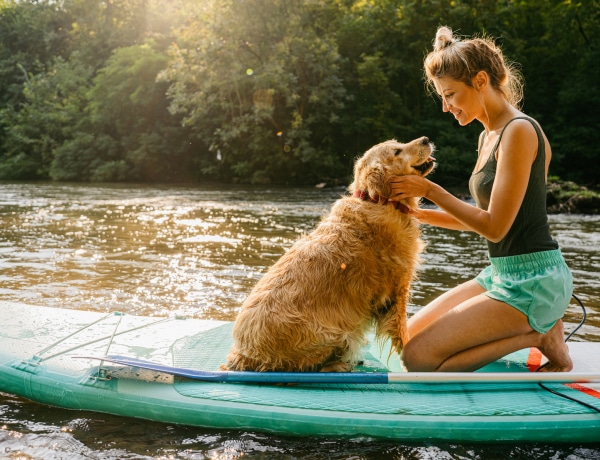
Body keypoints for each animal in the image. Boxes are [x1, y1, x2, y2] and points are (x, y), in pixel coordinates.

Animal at [223, 137, 434, 374]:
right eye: (397, 151)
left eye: (398, 143)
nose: (426, 139)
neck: (378, 200)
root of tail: (242, 355)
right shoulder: (397, 289)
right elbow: (404, 334)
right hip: (335, 333)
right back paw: (341, 364)